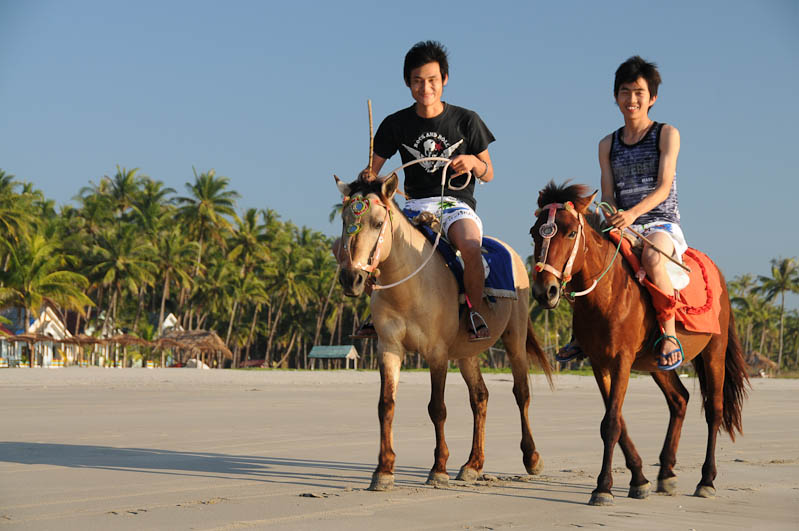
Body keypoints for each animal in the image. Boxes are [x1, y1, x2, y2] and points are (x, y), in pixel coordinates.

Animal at [334, 174, 552, 490]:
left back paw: (532, 458)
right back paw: (473, 464)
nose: (351, 278)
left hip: (515, 336)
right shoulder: (388, 348)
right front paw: (384, 470)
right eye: (343, 220)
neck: (408, 285)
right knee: (480, 397)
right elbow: (386, 404)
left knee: (521, 392)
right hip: (467, 352)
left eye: (377, 223)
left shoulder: (436, 353)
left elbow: (437, 408)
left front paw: (438, 468)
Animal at [532, 182, 752, 508]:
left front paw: (603, 488)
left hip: (715, 351)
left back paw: (706, 480)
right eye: (534, 232)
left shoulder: (621, 360)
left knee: (714, 409)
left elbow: (611, 423)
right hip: (658, 363)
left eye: (571, 233)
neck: (608, 292)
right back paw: (667, 473)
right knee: (679, 399)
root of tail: (720, 276)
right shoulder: (599, 363)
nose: (544, 291)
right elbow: (617, 421)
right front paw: (639, 479)